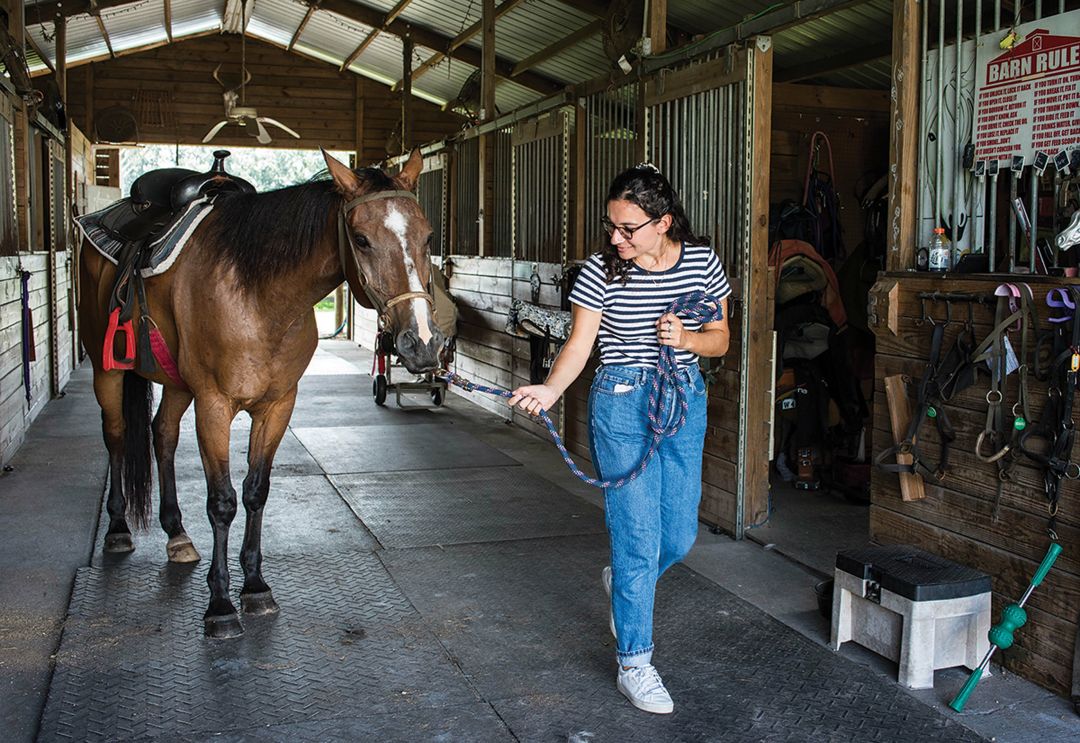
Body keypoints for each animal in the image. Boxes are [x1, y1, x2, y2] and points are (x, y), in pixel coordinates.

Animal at [78, 151, 442, 639]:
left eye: (427, 236)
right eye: (362, 240)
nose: (422, 344)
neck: (258, 295)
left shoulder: (277, 406)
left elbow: (255, 491)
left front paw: (254, 586)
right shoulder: (213, 406)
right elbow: (222, 502)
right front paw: (219, 605)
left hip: (176, 384)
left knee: (163, 435)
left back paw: (176, 534)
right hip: (108, 373)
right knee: (117, 437)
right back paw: (118, 528)